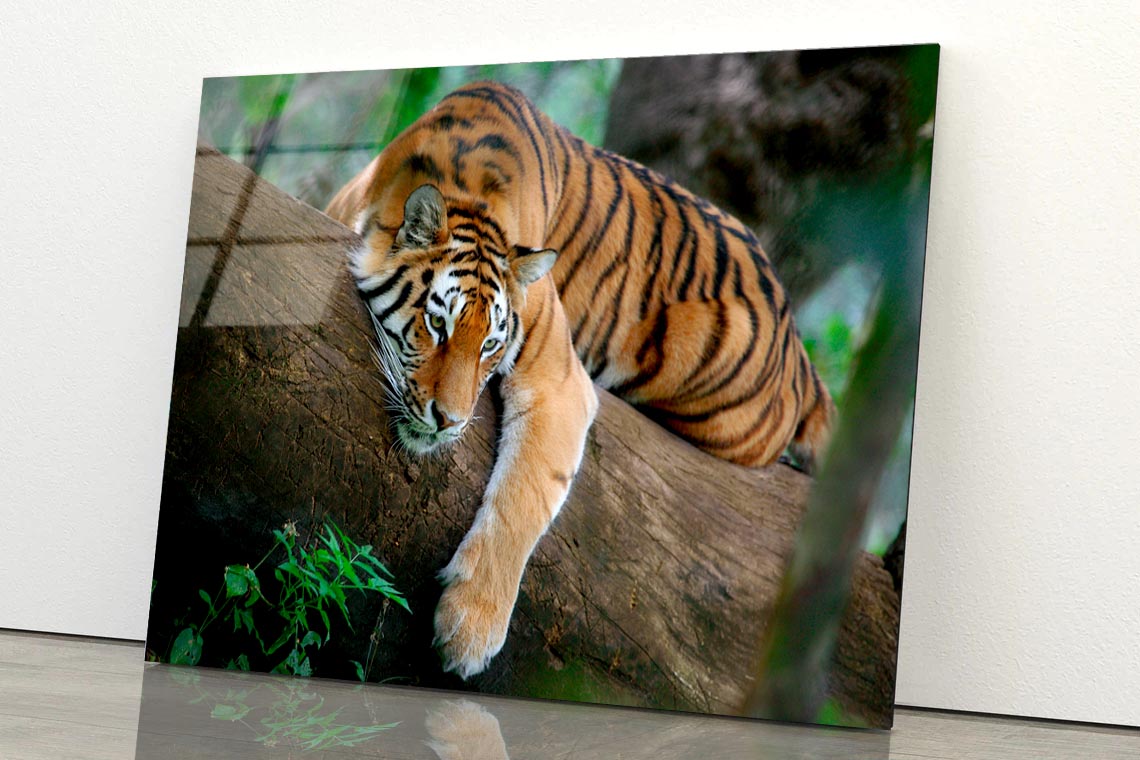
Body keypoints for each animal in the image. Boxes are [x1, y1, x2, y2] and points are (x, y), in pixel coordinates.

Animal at [326, 80, 834, 680]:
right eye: (437, 324)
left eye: (490, 345)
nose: (448, 421)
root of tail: (798, 342)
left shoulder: (560, 381)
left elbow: (522, 498)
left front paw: (470, 632)